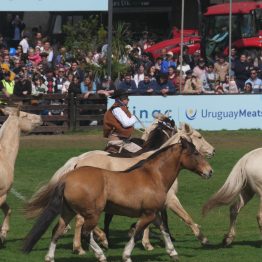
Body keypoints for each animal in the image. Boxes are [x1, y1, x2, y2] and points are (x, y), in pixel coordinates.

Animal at [25, 123, 215, 254]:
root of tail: (79, 161)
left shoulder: (156, 203)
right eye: (199, 137)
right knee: (81, 221)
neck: (157, 168)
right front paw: (202, 238)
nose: (213, 150)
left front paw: (147, 241)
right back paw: (88, 244)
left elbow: (156, 222)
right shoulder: (170, 199)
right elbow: (186, 217)